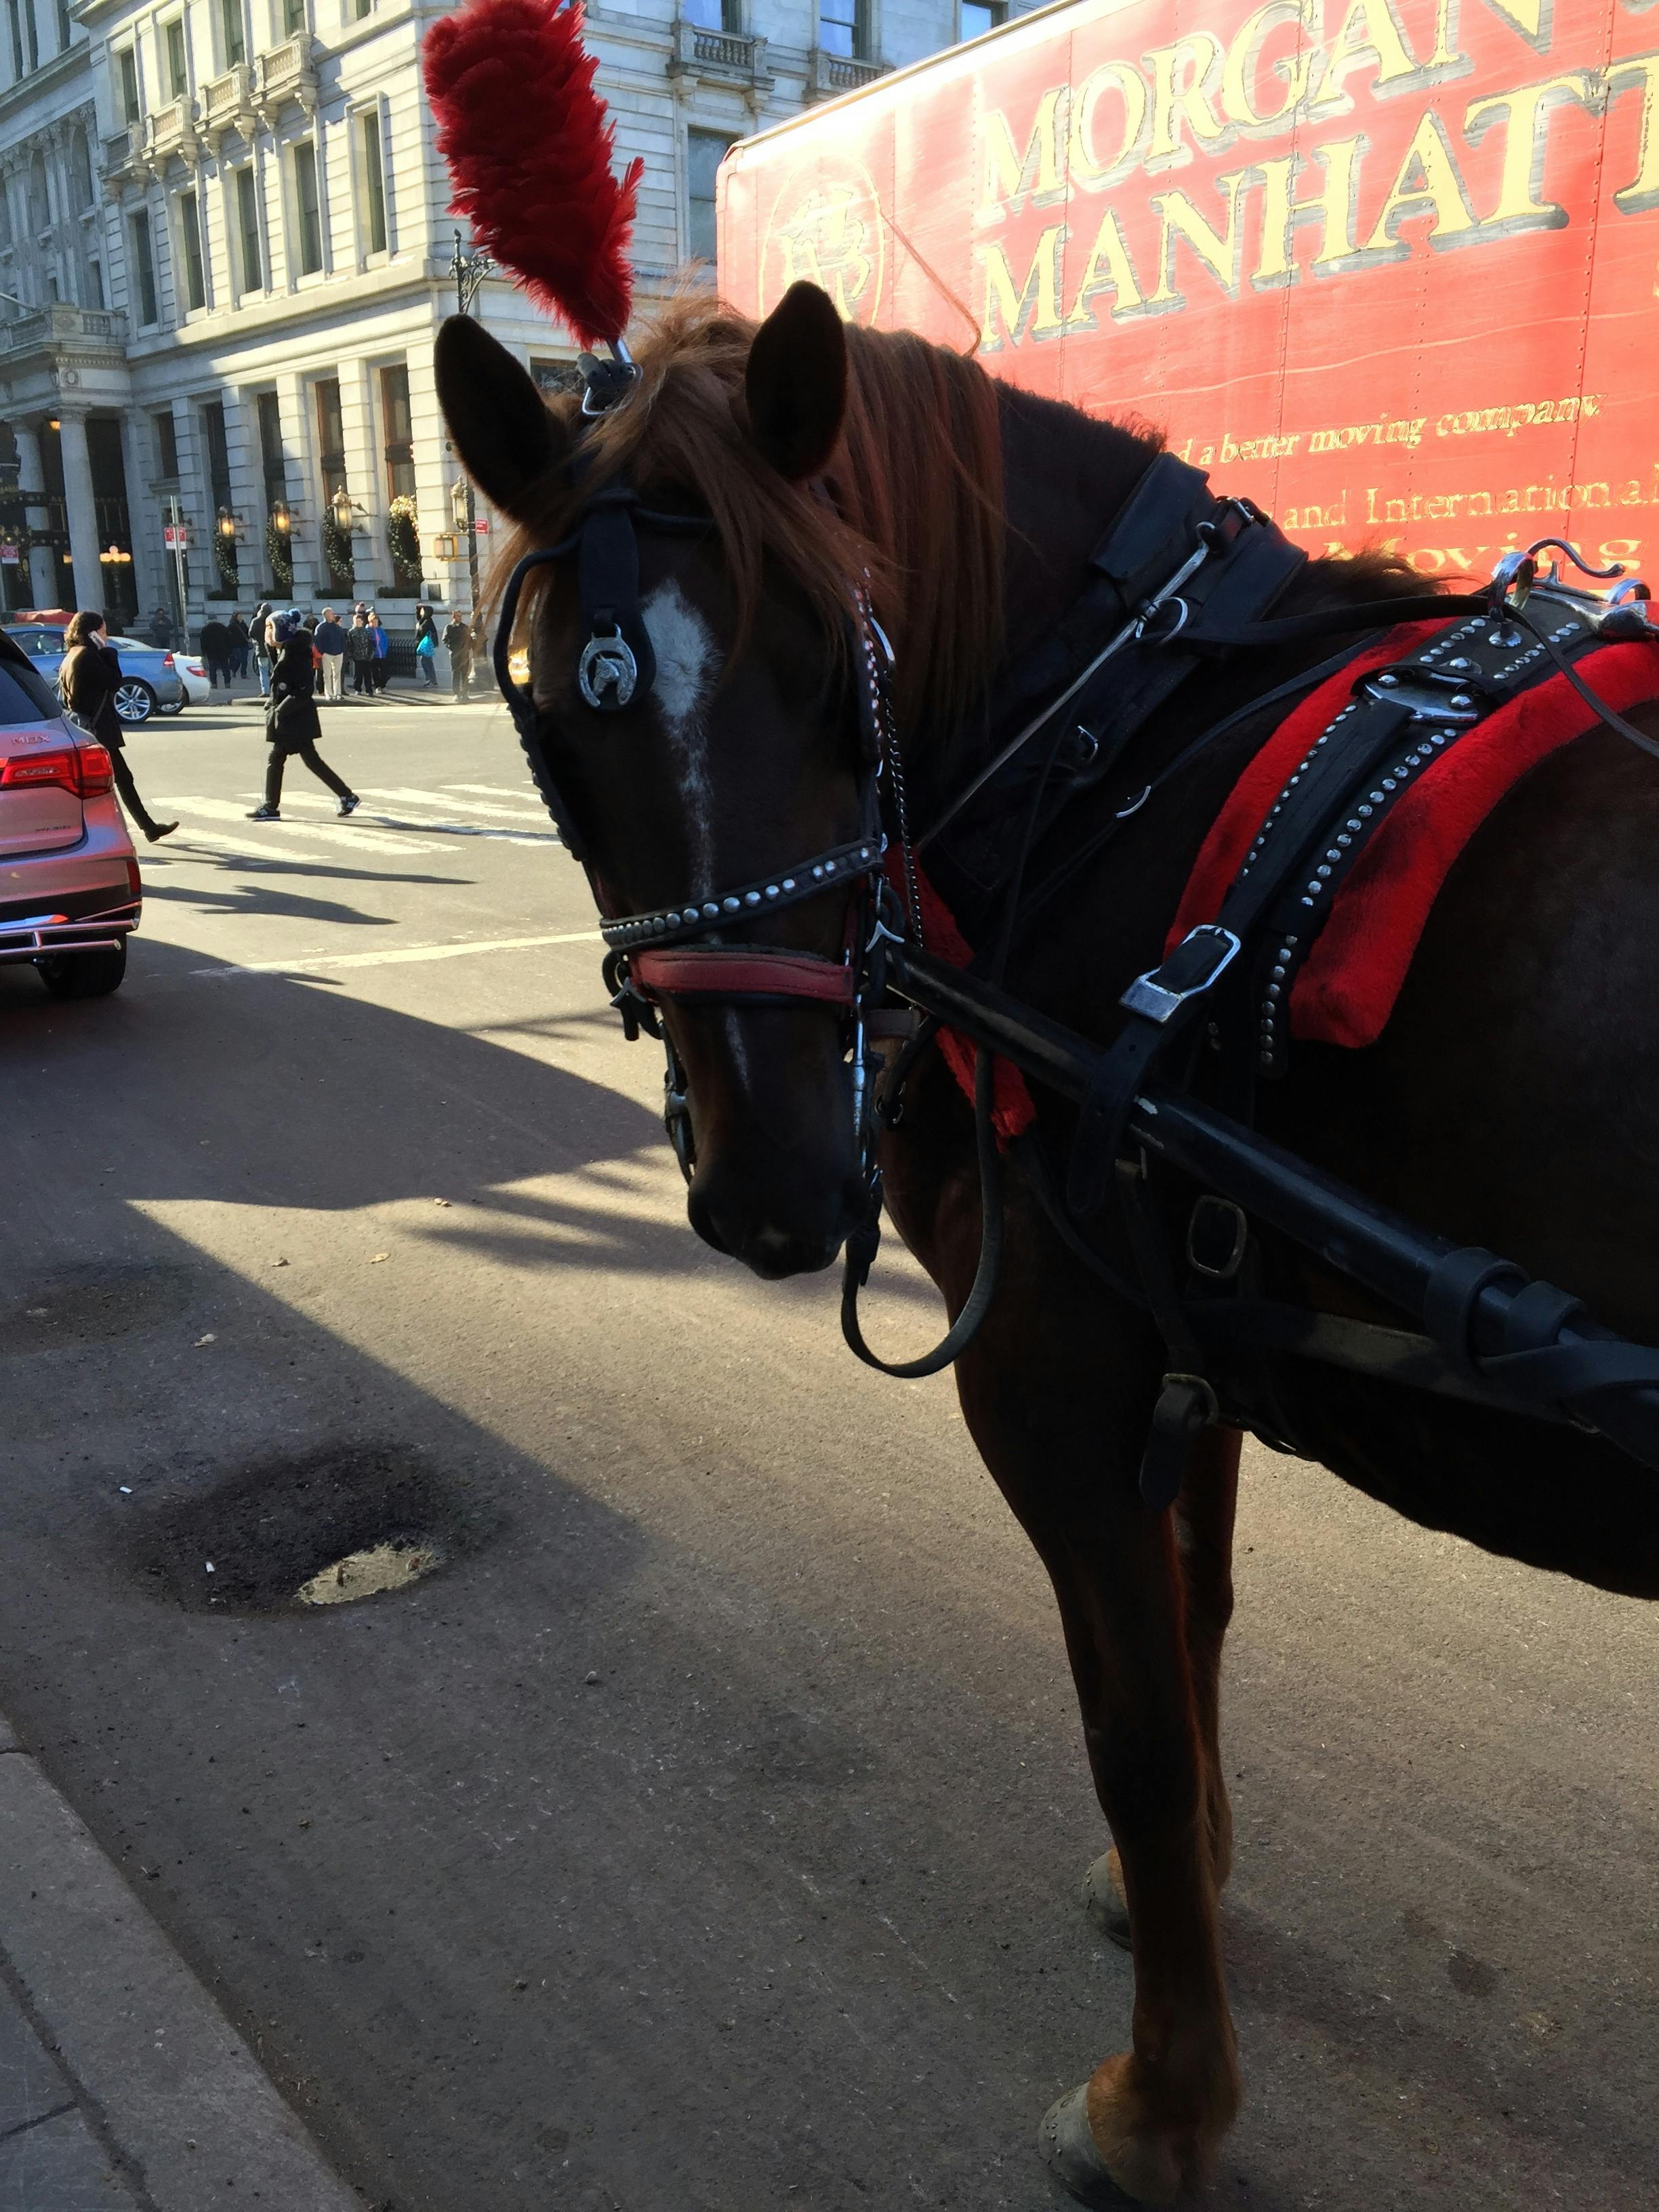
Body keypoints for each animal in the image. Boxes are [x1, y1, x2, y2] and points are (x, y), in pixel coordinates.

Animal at [434, 280, 1659, 2205]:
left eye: (839, 676)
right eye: (554, 727)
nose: (775, 1183)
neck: (1109, 752)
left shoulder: (1048, 1369)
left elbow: (1129, 1729)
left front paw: (1160, 2102)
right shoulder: (1188, 1331)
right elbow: (1198, 1616)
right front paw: (1191, 1909)